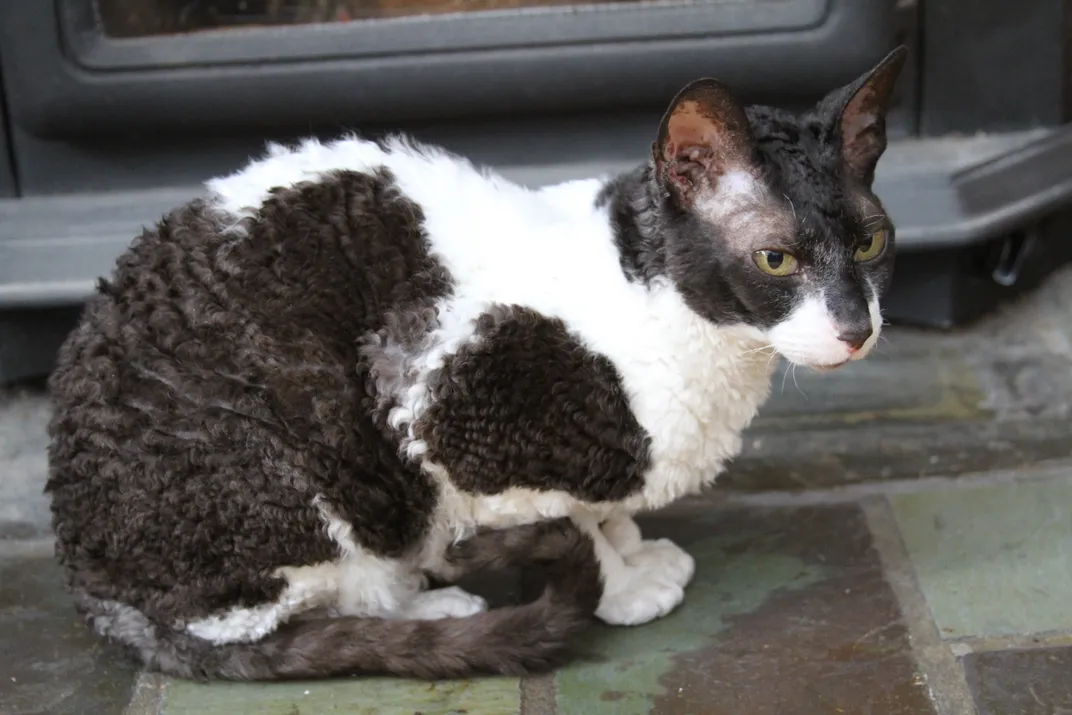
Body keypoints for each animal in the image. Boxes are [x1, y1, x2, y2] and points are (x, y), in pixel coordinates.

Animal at [48, 44, 904, 681]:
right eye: (776, 259)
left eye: (870, 243)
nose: (855, 327)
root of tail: (89, 581)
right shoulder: (437, 399)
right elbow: (572, 520)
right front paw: (624, 585)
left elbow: (604, 507)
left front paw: (634, 547)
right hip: (311, 467)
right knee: (283, 609)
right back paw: (428, 601)